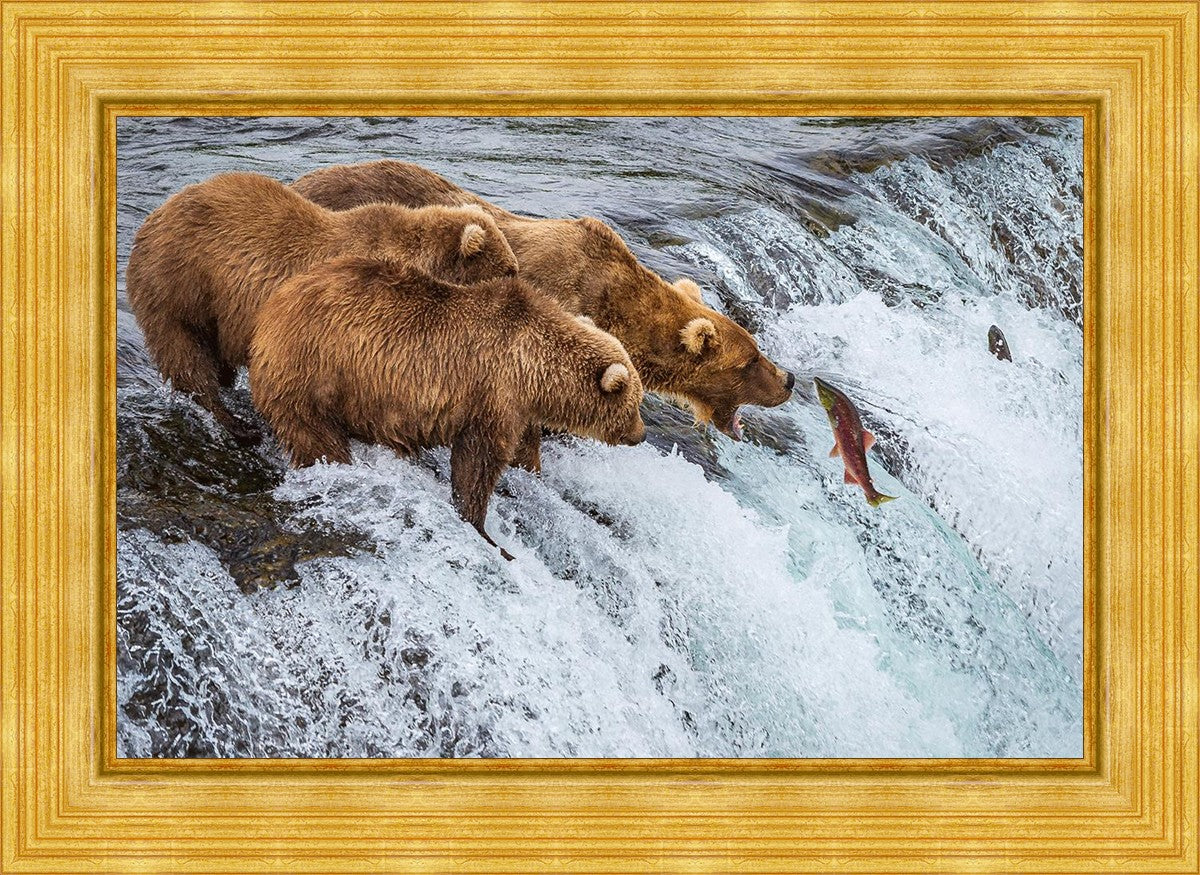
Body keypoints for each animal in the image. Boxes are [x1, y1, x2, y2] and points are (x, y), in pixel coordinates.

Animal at [125, 171, 519, 445]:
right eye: (509, 269)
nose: (520, 283)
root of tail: (153, 217)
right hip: (180, 286)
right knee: (186, 356)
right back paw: (236, 424)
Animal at [248, 256, 646, 559]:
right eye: (635, 403)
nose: (641, 435)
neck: (533, 368)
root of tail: (270, 310)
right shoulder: (492, 393)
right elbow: (478, 462)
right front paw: (485, 530)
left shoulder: (517, 408)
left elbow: (522, 450)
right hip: (313, 373)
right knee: (315, 436)